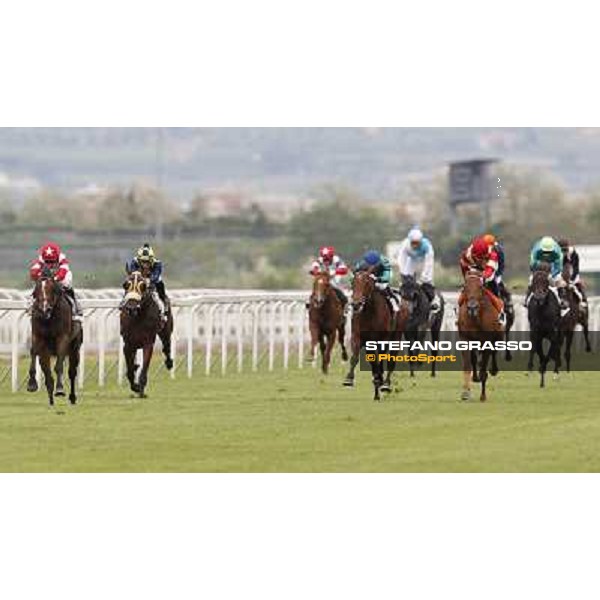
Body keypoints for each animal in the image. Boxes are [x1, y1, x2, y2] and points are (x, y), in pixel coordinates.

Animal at [27, 274, 82, 408]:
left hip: (74, 349)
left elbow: (58, 366)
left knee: (72, 372)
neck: (49, 319)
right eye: (36, 291)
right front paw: (32, 384)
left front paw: (60, 389)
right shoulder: (37, 336)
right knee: (46, 371)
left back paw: (72, 397)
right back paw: (51, 399)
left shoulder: (62, 338)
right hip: (46, 352)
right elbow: (33, 353)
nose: (44, 309)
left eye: (51, 290)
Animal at [342, 270, 408, 400]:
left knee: (390, 361)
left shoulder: (382, 340)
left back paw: (385, 384)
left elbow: (380, 361)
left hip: (396, 337)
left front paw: (380, 381)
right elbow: (355, 358)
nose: (356, 304)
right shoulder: (358, 337)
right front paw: (349, 379)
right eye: (353, 282)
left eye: (367, 283)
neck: (369, 314)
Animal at [458, 270, 504, 404]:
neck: (476, 318)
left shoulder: (487, 341)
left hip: (498, 336)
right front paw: (465, 393)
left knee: (493, 353)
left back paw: (493, 369)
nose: (472, 307)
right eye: (465, 287)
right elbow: (467, 365)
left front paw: (483, 396)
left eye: (480, 287)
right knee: (475, 358)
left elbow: (484, 368)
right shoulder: (465, 338)